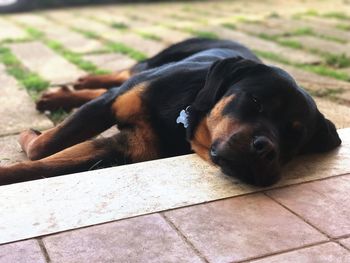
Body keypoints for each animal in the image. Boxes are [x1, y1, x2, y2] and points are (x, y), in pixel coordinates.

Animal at [0, 38, 342, 188]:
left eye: (295, 136)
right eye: (255, 101)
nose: (265, 149)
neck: (183, 118)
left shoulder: (124, 147)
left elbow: (41, 164)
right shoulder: (112, 104)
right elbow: (45, 145)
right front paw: (31, 134)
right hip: (155, 61)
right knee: (123, 73)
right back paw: (73, 86)